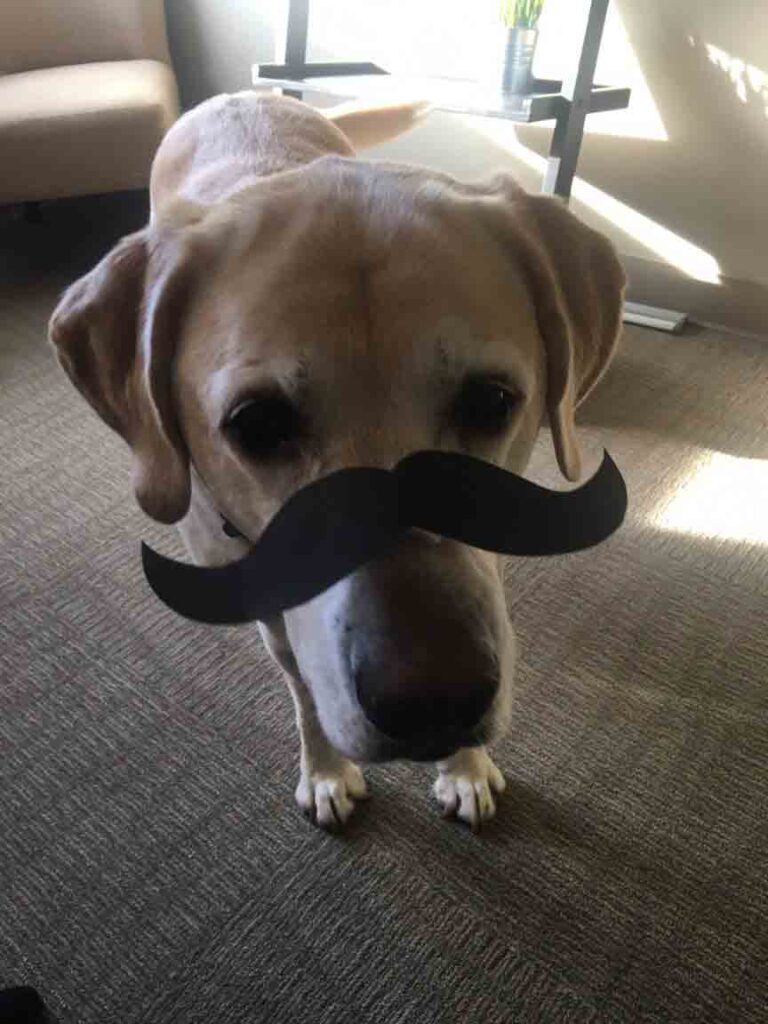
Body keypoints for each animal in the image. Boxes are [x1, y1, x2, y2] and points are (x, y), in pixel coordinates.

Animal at [46, 94, 626, 831]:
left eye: (492, 400)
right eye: (256, 424)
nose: (436, 699)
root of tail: (237, 97)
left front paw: (464, 768)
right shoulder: (274, 608)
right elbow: (303, 689)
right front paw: (325, 772)